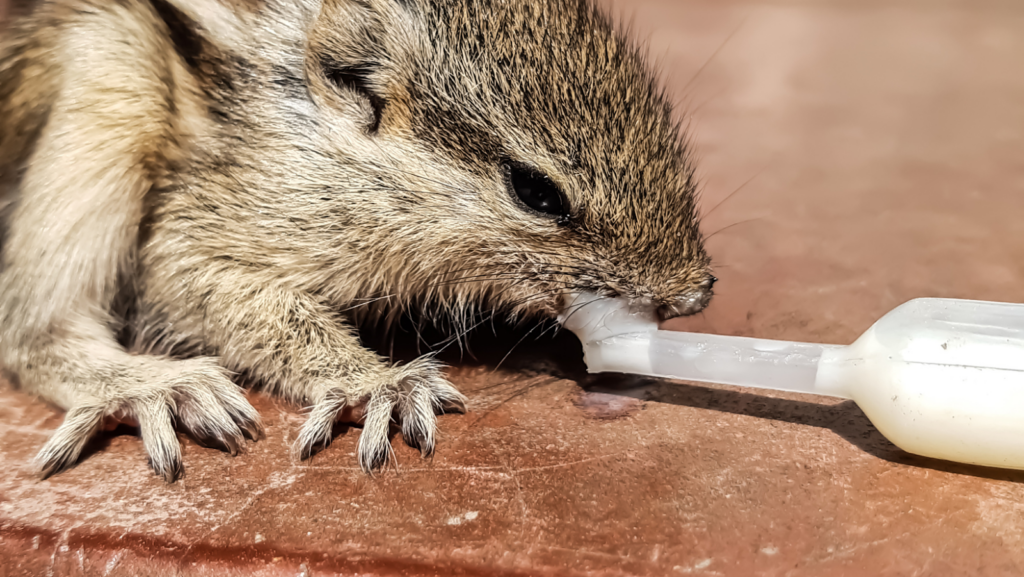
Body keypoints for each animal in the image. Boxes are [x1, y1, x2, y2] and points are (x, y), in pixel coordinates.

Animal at [0, 0, 716, 481]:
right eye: (536, 191)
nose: (697, 293)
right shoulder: (207, 235)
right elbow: (226, 292)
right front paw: (378, 384)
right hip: (109, 74)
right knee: (32, 333)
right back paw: (155, 388)